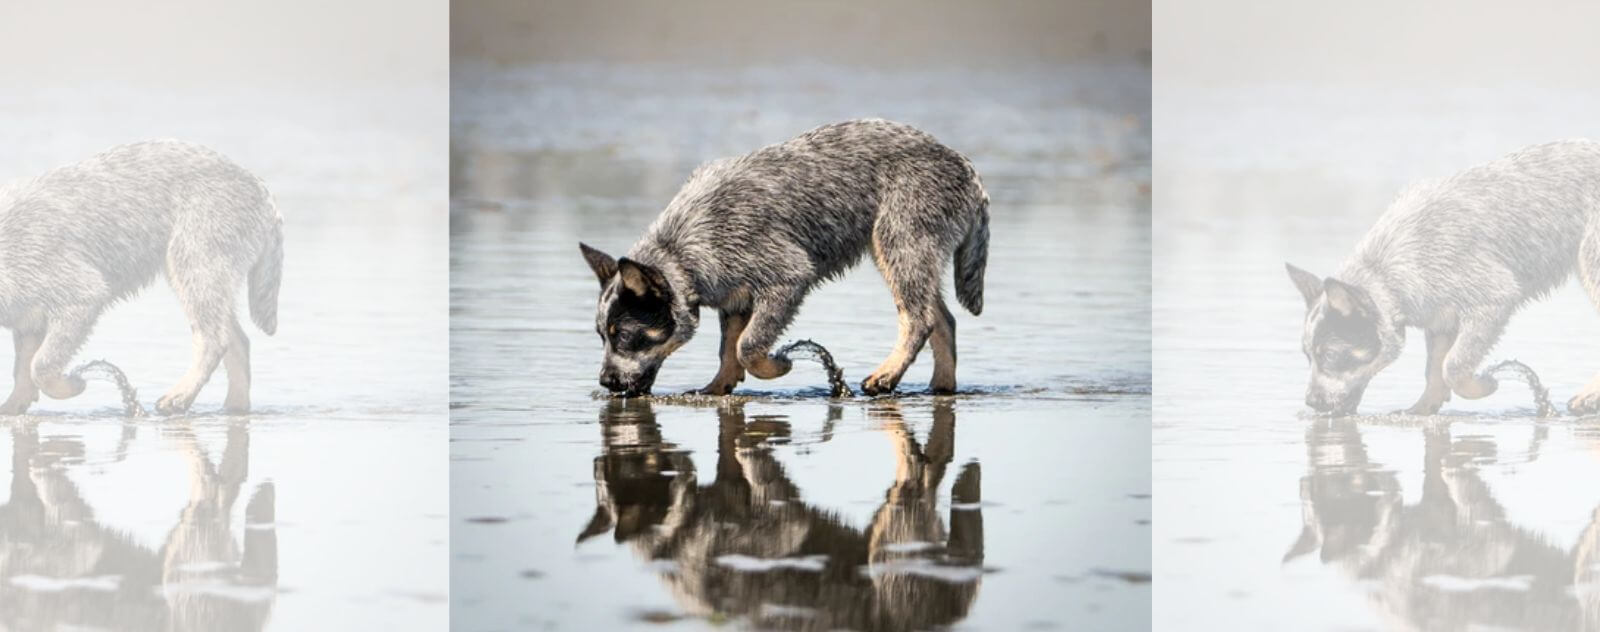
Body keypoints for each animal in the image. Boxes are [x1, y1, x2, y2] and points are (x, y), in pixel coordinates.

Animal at [0, 140, 284, 416]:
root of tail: (259, 185)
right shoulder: (28, 321)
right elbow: (23, 371)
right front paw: (13, 408)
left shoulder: (82, 296)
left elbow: (40, 366)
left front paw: (72, 384)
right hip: (206, 280)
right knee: (238, 343)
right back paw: (233, 408)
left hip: (194, 268)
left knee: (214, 340)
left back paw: (179, 397)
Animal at [582, 118, 985, 396]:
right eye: (601, 336)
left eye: (624, 337)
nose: (605, 382)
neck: (683, 246)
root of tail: (965, 166)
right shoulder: (734, 296)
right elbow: (728, 349)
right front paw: (717, 388)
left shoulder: (787, 278)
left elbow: (747, 346)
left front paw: (777, 366)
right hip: (913, 256)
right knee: (943, 321)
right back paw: (941, 387)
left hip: (899, 245)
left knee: (918, 320)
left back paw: (886, 375)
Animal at [1286, 140, 1600, 416]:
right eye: (1307, 356)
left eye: (1329, 355)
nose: (1310, 402)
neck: (1387, 269)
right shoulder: (1439, 318)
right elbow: (1435, 369)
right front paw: (1423, 408)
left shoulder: (1494, 298)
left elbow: (1453, 365)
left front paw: (1482, 385)